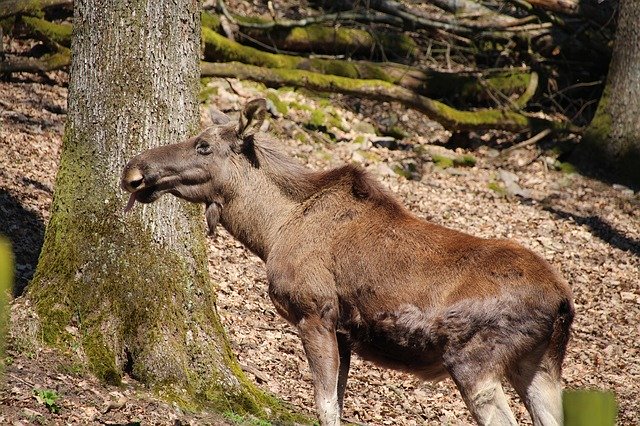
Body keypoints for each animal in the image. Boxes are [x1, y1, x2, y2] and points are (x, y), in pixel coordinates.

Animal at [121, 99, 576, 426]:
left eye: (203, 146)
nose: (133, 170)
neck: (270, 231)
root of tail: (562, 302)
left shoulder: (314, 313)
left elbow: (325, 408)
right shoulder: (344, 331)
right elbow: (336, 403)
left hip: (473, 361)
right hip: (540, 366)